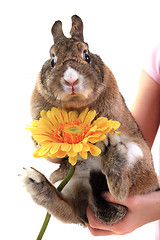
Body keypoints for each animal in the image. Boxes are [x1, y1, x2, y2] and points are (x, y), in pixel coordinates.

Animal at [21, 15, 159, 226]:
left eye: (86, 55)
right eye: (53, 60)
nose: (71, 79)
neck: (75, 103)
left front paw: (99, 142)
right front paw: (38, 142)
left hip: (138, 155)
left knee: (120, 192)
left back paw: (112, 150)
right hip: (73, 183)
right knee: (70, 210)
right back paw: (36, 183)